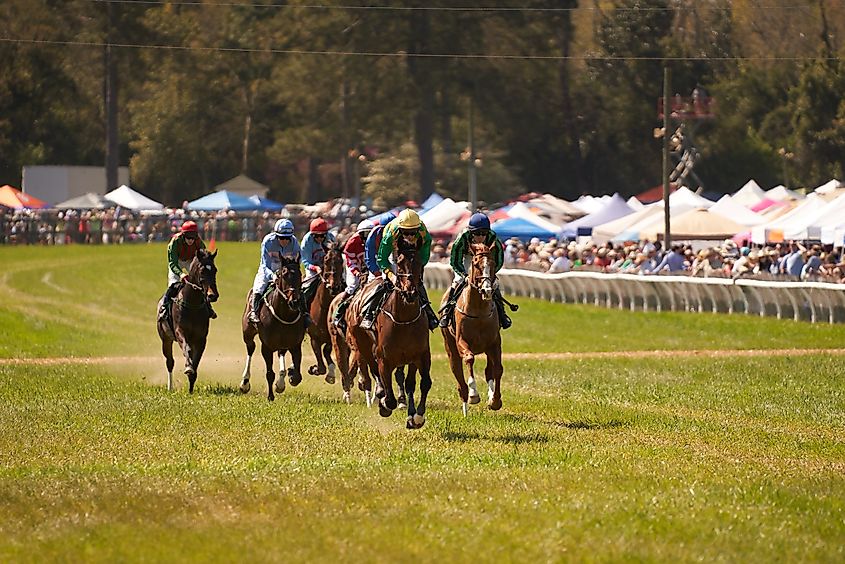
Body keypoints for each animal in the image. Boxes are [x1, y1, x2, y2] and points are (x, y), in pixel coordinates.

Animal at [157, 249, 219, 394]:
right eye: (202, 271)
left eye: (215, 270)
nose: (212, 295)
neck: (192, 303)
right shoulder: (180, 331)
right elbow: (187, 349)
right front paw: (188, 367)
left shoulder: (201, 337)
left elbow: (197, 359)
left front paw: (191, 385)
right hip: (165, 339)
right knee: (170, 362)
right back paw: (170, 387)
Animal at [241, 256, 306, 400]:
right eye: (283, 275)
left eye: (300, 275)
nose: (294, 302)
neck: (284, 314)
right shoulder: (266, 346)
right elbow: (270, 373)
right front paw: (270, 396)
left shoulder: (295, 344)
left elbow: (297, 375)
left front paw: (287, 379)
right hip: (247, 333)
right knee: (250, 349)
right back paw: (244, 383)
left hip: (282, 343)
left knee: (281, 353)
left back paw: (281, 382)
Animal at [304, 240, 344, 382]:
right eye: (326, 260)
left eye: (341, 261)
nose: (334, 287)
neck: (324, 306)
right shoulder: (314, 337)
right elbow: (321, 365)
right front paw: (314, 368)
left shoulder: (331, 336)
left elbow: (326, 351)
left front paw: (330, 373)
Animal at [442, 240, 502, 416]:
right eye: (476, 264)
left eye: (493, 263)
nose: (487, 290)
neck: (479, 312)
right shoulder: (461, 341)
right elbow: (469, 359)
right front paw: (474, 394)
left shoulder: (494, 342)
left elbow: (498, 369)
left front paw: (495, 401)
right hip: (450, 346)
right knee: (457, 371)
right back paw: (465, 406)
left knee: (489, 370)